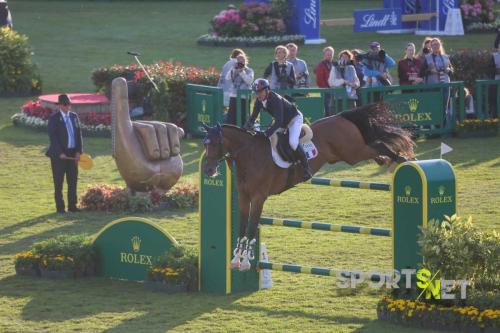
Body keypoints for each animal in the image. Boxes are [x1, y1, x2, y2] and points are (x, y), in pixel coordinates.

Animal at [201, 102, 416, 270]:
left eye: (215, 143)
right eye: (205, 144)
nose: (208, 171)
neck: (249, 155)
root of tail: (341, 116)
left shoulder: (259, 197)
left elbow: (251, 228)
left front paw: (245, 261)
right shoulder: (244, 197)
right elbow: (242, 228)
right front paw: (236, 259)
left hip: (353, 151)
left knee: (379, 145)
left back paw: (402, 159)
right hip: (350, 154)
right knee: (376, 149)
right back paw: (387, 160)